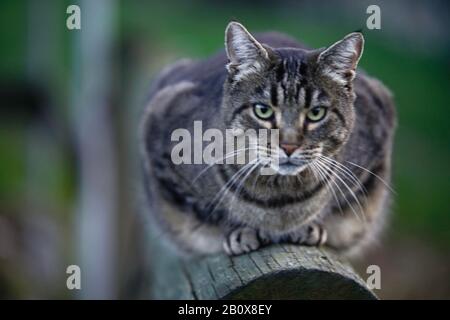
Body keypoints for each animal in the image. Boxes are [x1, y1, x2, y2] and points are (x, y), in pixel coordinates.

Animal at [140, 21, 394, 258]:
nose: (289, 146)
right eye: (263, 110)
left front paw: (310, 227)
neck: (279, 198)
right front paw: (240, 232)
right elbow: (205, 214)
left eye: (316, 113)